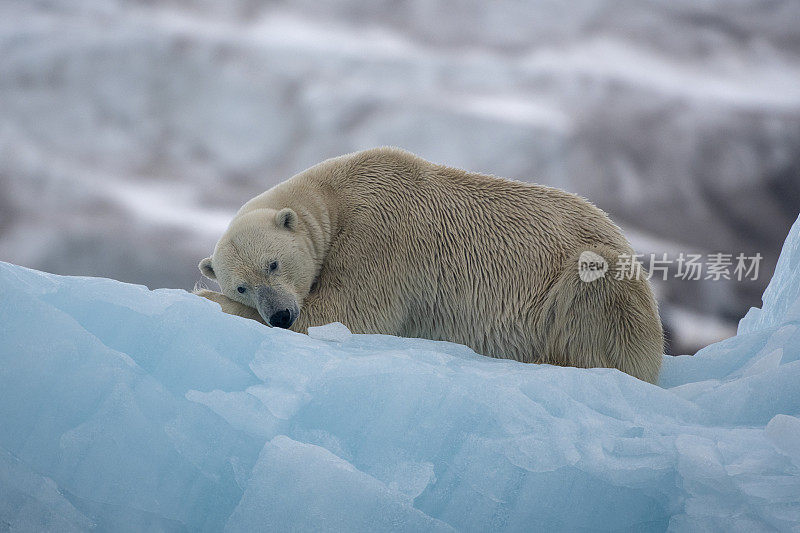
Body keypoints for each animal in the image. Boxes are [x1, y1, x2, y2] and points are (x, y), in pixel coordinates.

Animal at [195, 148, 664, 380]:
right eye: (242, 285)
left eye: (273, 264)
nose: (279, 315)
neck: (336, 195)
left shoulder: (380, 233)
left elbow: (345, 311)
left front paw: (205, 298)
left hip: (597, 279)